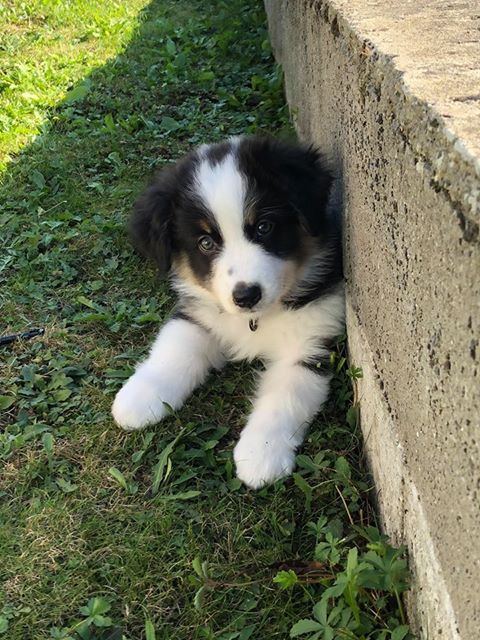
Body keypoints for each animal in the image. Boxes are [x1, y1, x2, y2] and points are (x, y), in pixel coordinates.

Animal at [112, 136, 344, 489]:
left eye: (264, 226)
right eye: (206, 243)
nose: (246, 295)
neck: (254, 320)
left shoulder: (310, 341)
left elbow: (286, 396)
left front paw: (261, 454)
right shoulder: (198, 315)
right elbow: (174, 349)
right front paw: (140, 397)